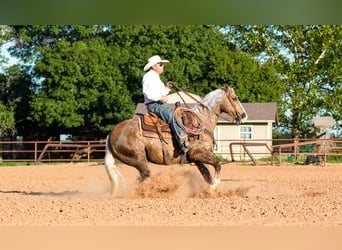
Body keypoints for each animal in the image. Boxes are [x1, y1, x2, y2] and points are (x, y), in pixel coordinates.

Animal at [104, 85, 246, 196]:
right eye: (234, 98)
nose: (244, 115)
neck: (201, 122)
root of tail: (111, 134)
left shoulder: (196, 158)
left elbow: (207, 175)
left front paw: (211, 190)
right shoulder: (198, 154)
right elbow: (217, 165)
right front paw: (215, 185)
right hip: (139, 160)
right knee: (144, 178)